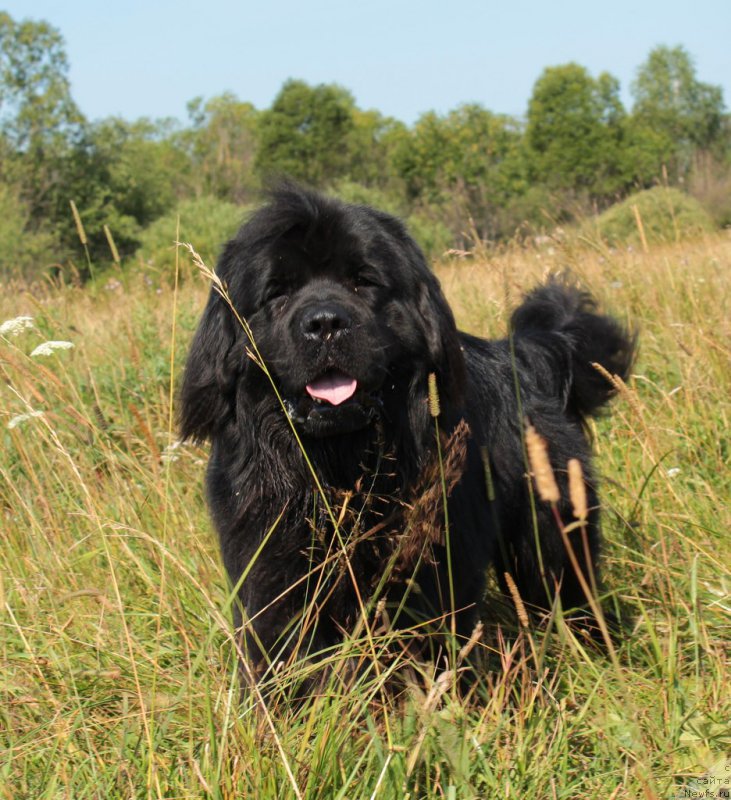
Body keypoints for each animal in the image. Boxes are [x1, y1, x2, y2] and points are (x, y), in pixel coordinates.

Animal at [182, 183, 636, 688]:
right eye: (276, 292)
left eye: (364, 282)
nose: (324, 323)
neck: (341, 468)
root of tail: (523, 355)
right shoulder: (271, 574)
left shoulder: (432, 570)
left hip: (550, 539)